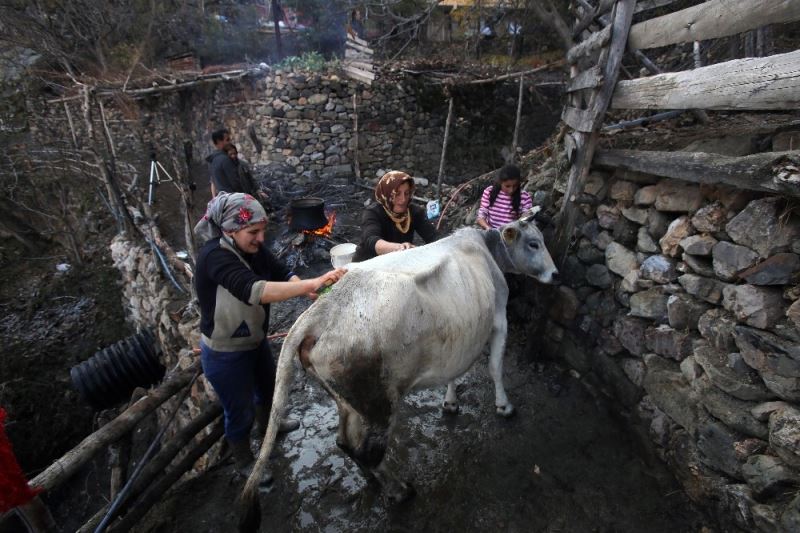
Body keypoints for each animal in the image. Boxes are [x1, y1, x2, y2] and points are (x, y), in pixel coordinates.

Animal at [239, 211, 556, 528]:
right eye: (533, 243)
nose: (555, 275)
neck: (485, 248)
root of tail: (322, 308)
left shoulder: (460, 337)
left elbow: (454, 373)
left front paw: (451, 402)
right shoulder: (499, 318)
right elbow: (495, 367)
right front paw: (504, 406)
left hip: (349, 401)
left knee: (345, 442)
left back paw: (373, 480)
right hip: (380, 404)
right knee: (368, 452)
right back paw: (398, 490)